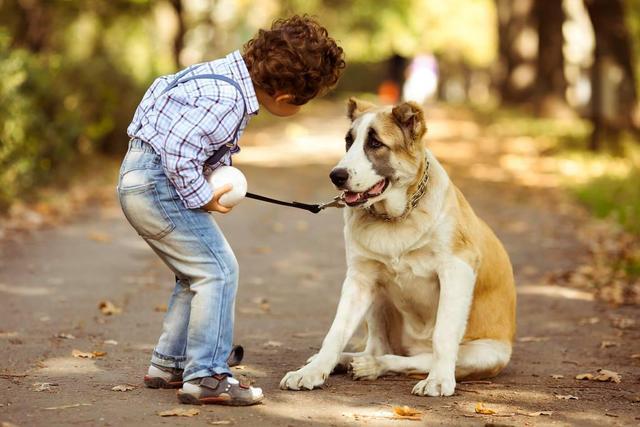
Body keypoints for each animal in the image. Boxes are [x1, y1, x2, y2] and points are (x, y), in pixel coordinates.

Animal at [280, 99, 516, 398]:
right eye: (348, 141)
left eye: (376, 143)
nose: (336, 176)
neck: (396, 217)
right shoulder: (360, 279)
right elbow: (336, 331)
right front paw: (313, 371)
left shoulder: (457, 269)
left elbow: (443, 335)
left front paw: (439, 379)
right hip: (377, 294)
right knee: (378, 346)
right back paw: (349, 361)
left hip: (486, 354)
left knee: (412, 358)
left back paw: (374, 366)